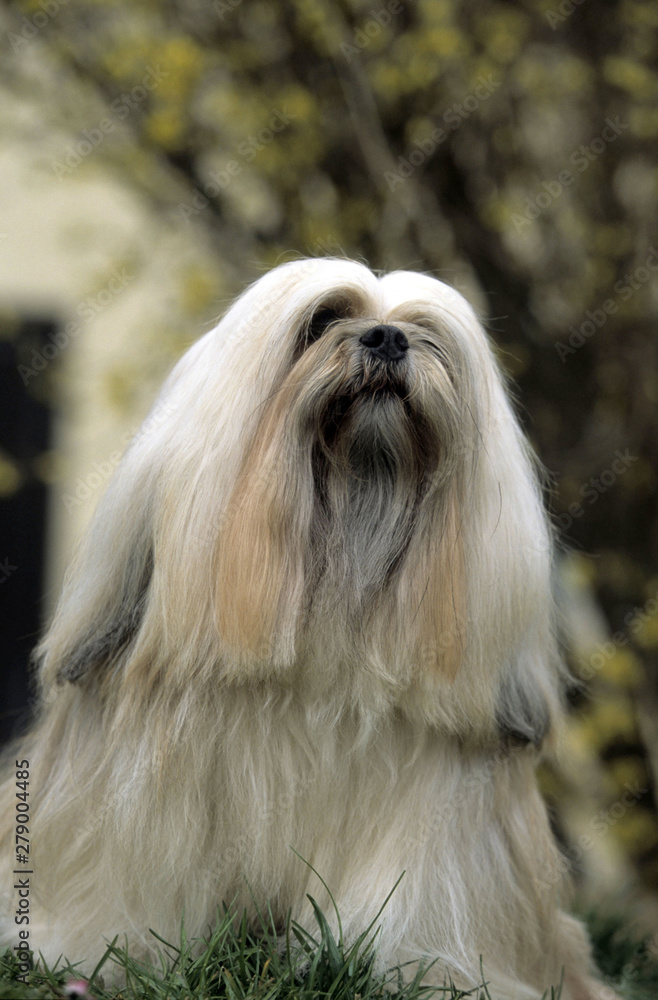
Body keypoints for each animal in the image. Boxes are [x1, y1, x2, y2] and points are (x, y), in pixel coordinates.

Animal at [0, 258, 613, 998]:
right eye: (322, 321)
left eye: (426, 335)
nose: (386, 338)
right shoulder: (143, 799)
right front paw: (108, 953)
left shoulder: (434, 824)